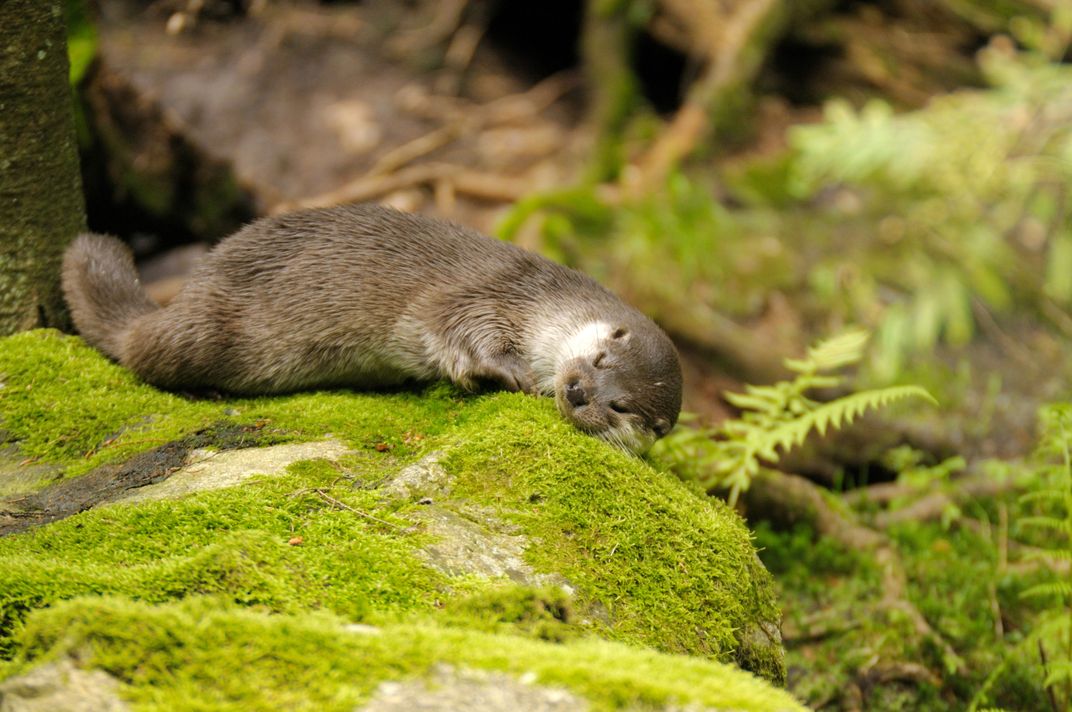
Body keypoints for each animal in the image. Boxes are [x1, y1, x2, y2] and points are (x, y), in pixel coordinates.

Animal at [60, 202, 677, 452]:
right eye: (599, 361)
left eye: (621, 407)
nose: (576, 392)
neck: (543, 305)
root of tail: (190, 290)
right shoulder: (485, 292)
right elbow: (462, 330)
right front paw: (512, 373)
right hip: (204, 328)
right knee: (139, 351)